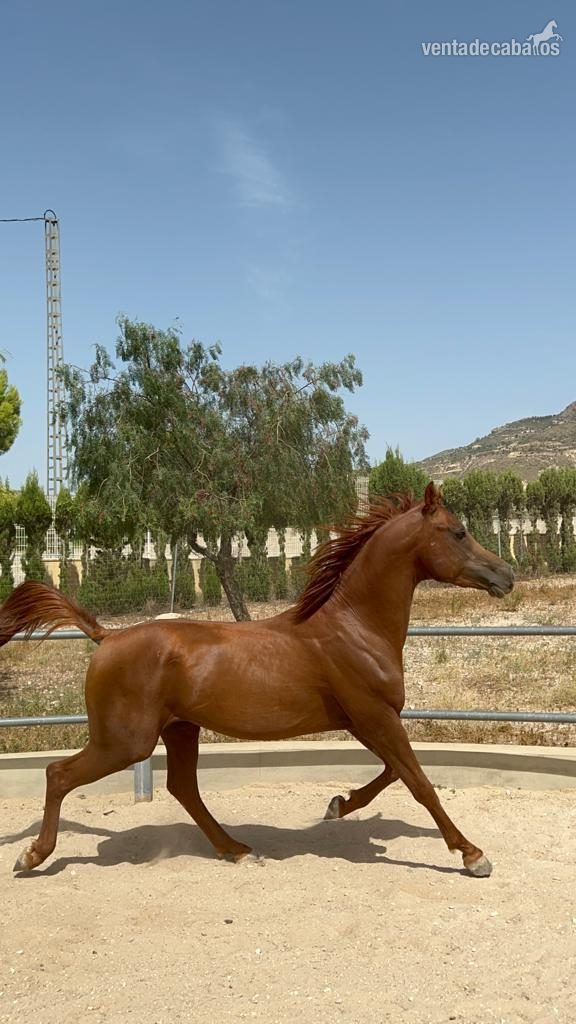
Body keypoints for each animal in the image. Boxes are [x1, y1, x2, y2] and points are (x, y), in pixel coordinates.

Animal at [1, 482, 513, 877]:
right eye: (458, 532)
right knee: (58, 774)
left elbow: (393, 773)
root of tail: (106, 636)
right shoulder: (374, 715)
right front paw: (473, 855)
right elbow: (418, 781)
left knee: (183, 789)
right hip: (126, 742)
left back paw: (236, 849)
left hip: (179, 730)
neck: (354, 627)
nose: (506, 575)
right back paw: (32, 857)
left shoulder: (367, 721)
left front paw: (338, 805)